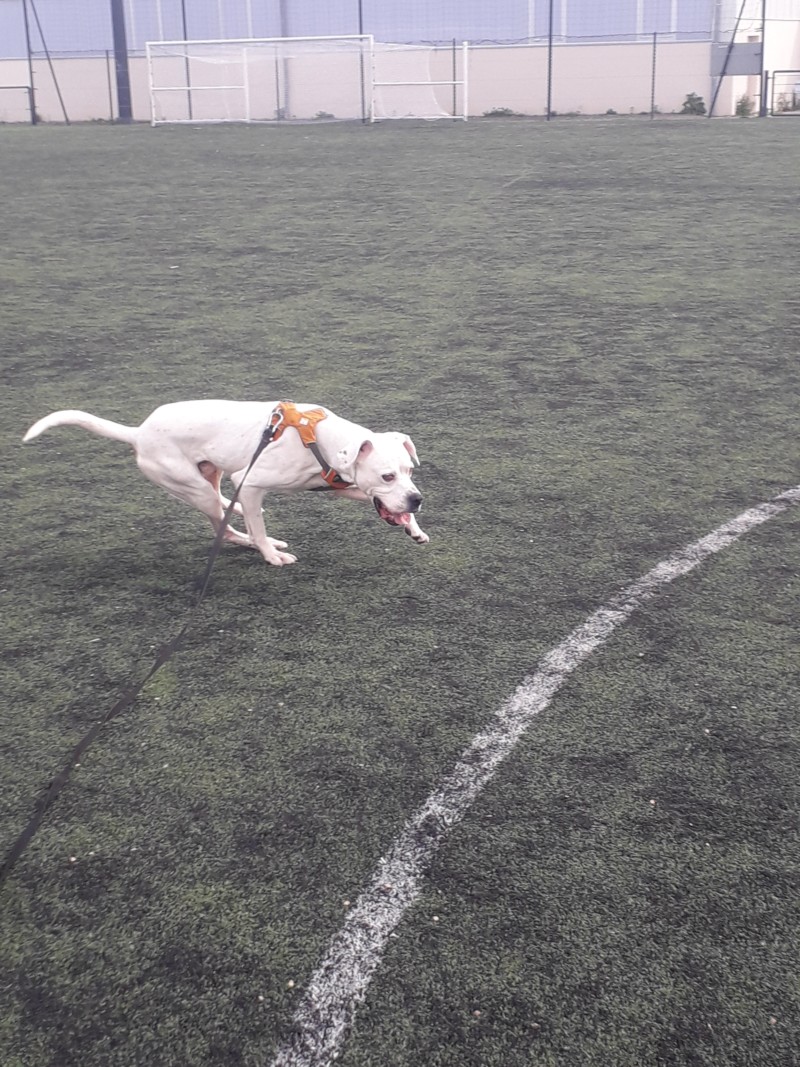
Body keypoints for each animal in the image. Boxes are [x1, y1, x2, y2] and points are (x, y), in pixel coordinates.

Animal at [21, 401, 428, 567]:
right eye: (387, 475)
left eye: (410, 471)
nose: (417, 499)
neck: (319, 436)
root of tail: (138, 433)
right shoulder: (248, 483)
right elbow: (257, 524)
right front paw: (271, 556)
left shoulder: (346, 484)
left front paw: (414, 528)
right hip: (198, 488)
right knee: (229, 527)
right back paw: (262, 543)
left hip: (210, 476)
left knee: (230, 520)